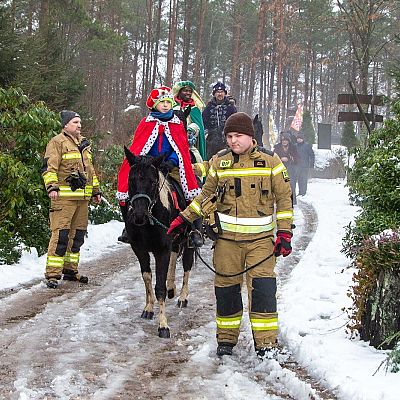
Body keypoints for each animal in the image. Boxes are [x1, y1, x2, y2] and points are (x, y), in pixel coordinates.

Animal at [124, 147, 195, 338]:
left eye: (153, 181)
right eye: (131, 179)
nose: (139, 215)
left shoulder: (161, 249)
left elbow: (160, 287)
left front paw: (163, 325)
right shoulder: (139, 249)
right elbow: (147, 277)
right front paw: (148, 308)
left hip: (189, 241)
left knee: (187, 265)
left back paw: (182, 297)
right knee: (174, 257)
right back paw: (172, 287)